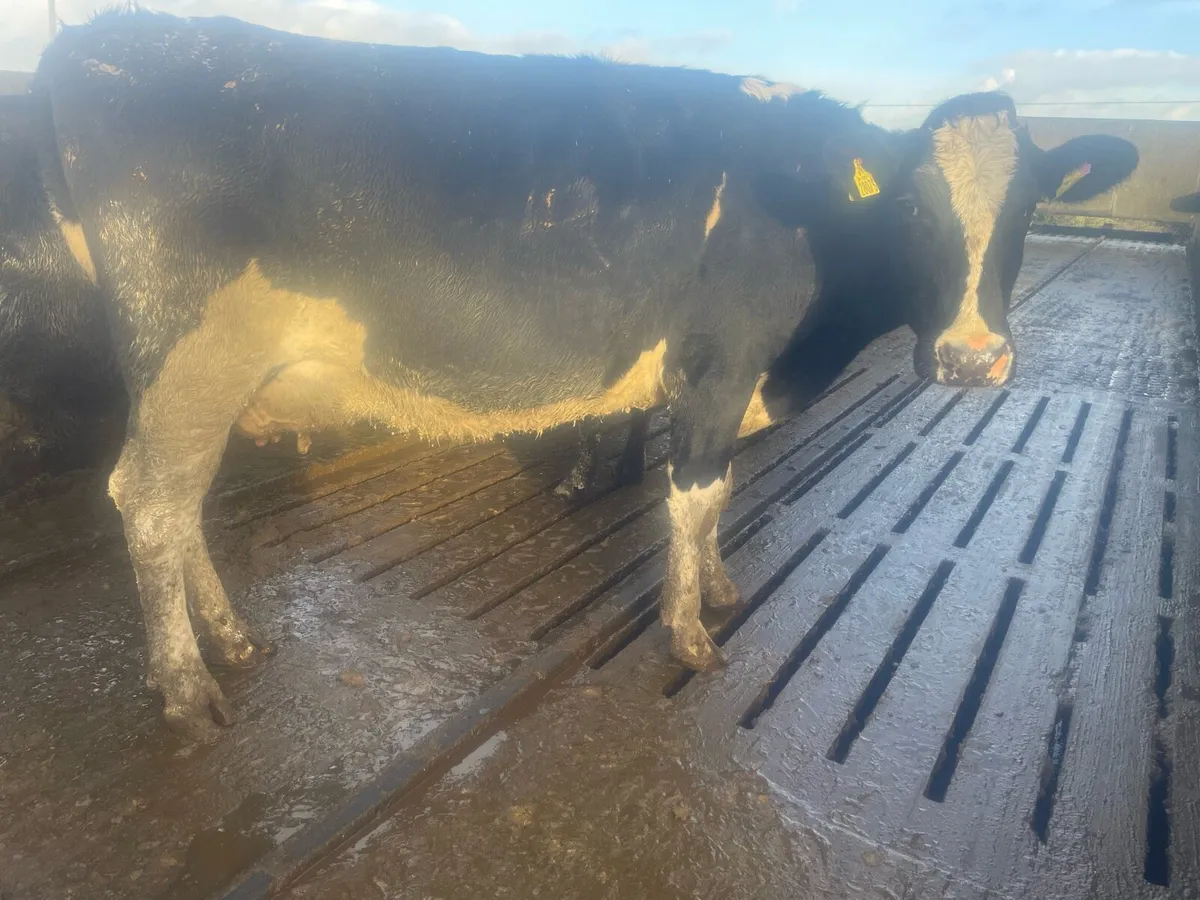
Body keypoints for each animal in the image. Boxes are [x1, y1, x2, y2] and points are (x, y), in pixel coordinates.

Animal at [17, 9, 1137, 742]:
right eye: (913, 208)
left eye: (1031, 207)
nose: (971, 357)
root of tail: (102, 42)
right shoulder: (717, 361)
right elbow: (695, 494)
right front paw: (690, 634)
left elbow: (719, 493)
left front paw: (720, 588)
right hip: (188, 358)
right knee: (151, 501)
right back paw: (186, 687)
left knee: (180, 506)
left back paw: (233, 640)